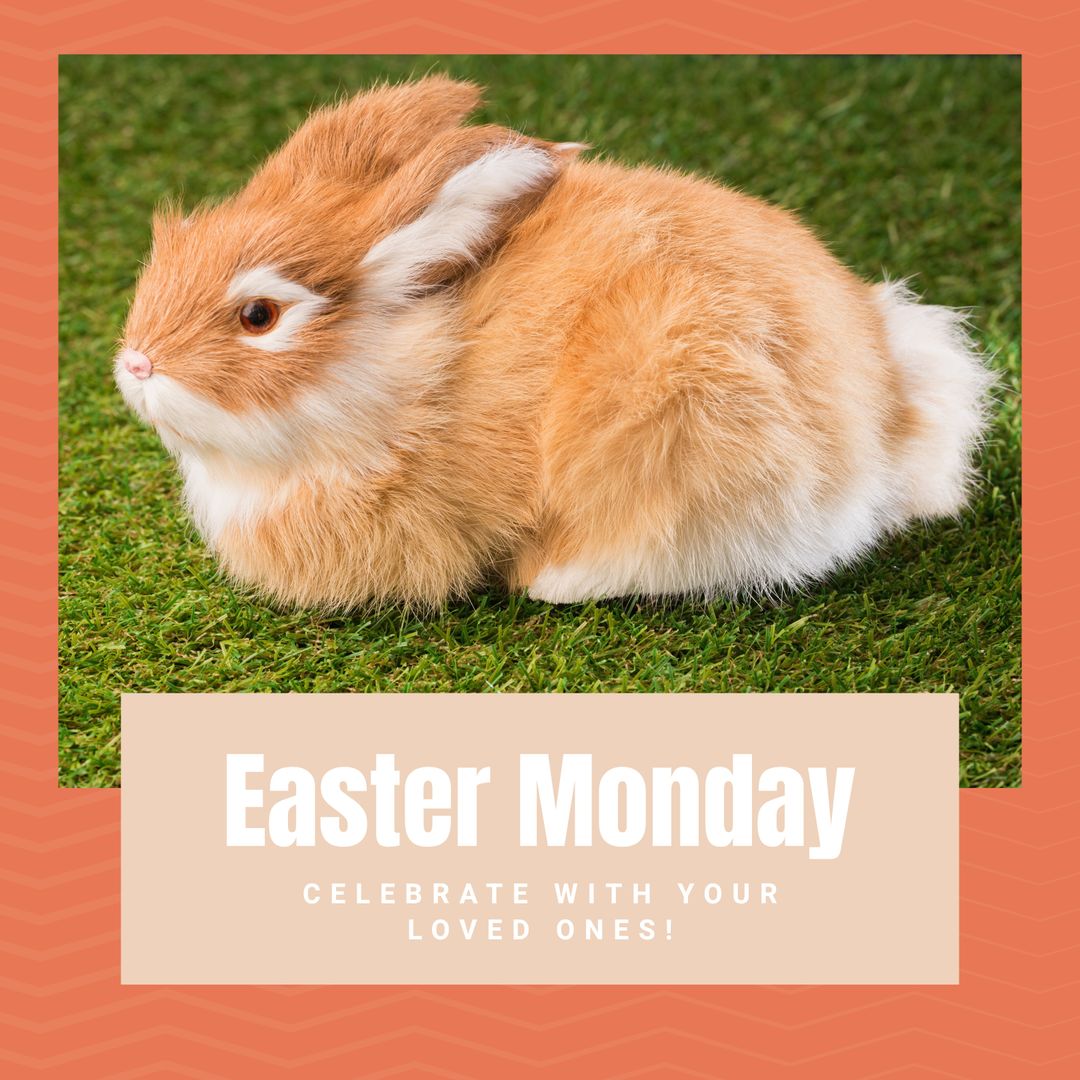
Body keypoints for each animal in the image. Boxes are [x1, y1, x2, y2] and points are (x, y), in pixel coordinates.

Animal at [115, 75, 994, 608]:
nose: (134, 363)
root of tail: (887, 426)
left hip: (675, 412)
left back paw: (550, 578)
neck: (411, 378)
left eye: (259, 316)